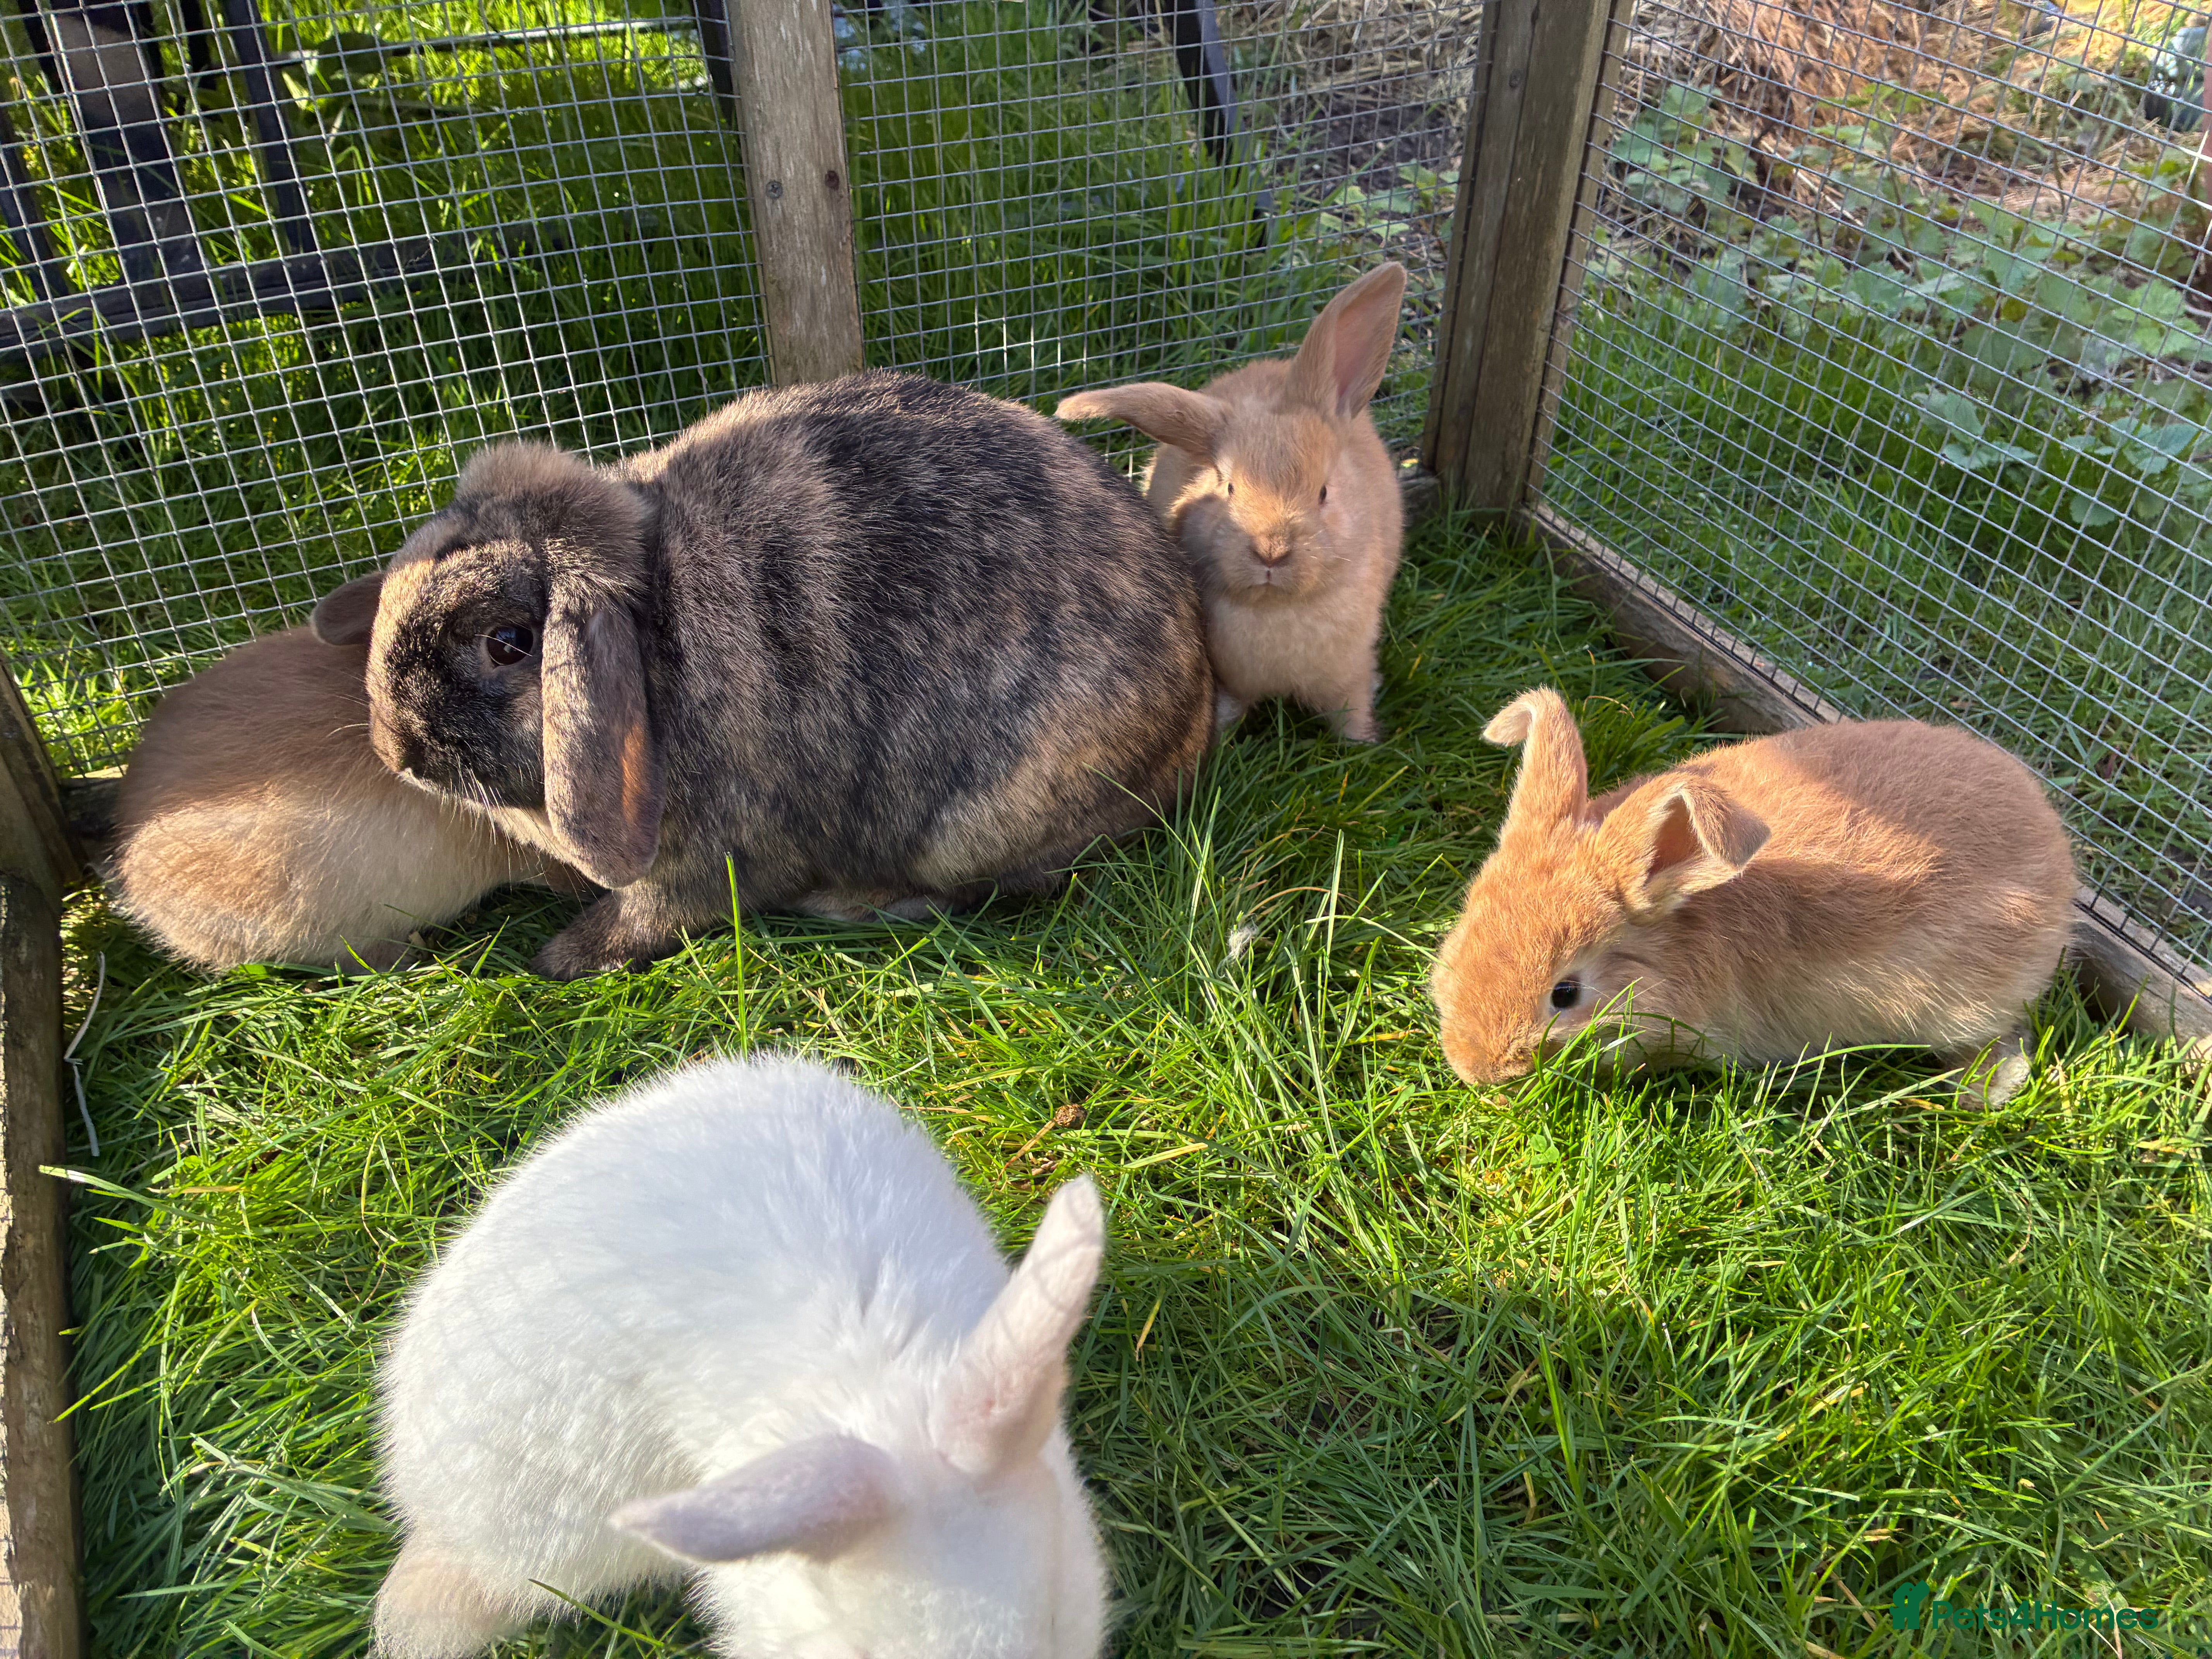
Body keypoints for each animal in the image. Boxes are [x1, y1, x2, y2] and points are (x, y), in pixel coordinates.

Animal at [310, 371, 1215, 979]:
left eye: (508, 642)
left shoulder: (703, 863)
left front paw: (560, 957)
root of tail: (1192, 723)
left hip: (977, 827)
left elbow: (649, 916)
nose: (397, 750)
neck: (656, 629)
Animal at [1055, 261, 1407, 743]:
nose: (1271, 551)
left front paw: (1365, 742)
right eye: (1228, 488)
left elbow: (1350, 710)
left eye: (1323, 492)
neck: (1277, 608)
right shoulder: (1230, 681)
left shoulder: (1347, 677)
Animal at [1429, 690, 2078, 1105]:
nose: (1475, 1070)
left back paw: (1985, 1087)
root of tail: (2058, 854)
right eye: (1464, 933)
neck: (1678, 928)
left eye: (1565, 994)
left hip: (1974, 1001)